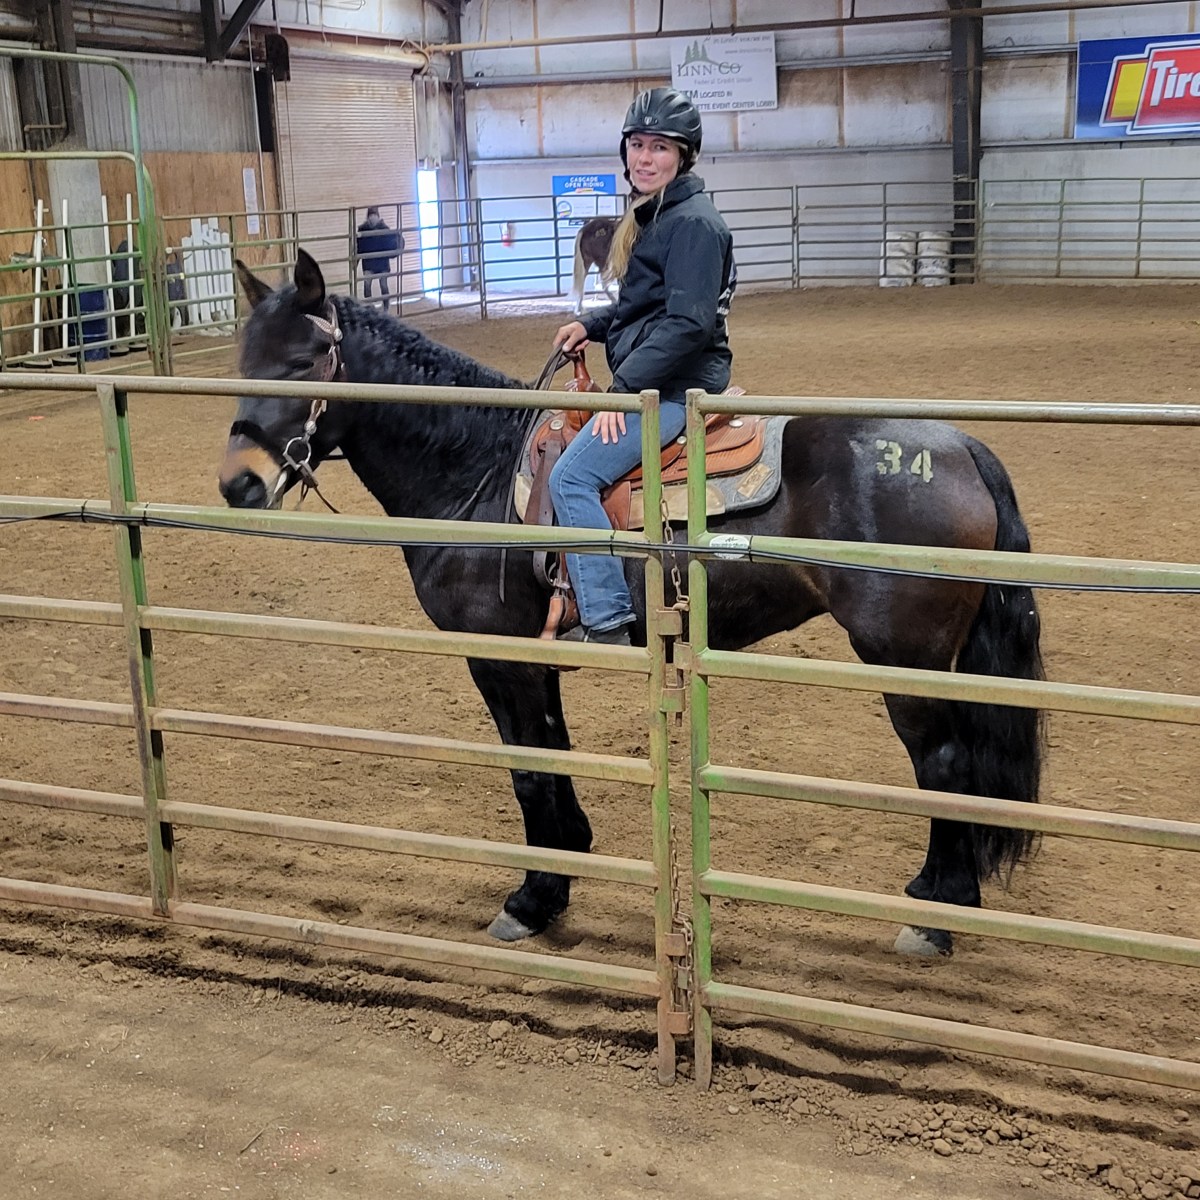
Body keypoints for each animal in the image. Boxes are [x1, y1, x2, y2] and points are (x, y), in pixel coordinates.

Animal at [220, 249, 1045, 956]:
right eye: (243, 363)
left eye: (302, 363)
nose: (239, 484)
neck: (476, 467)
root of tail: (963, 448)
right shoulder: (536, 659)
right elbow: (551, 756)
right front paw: (559, 879)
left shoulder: (499, 658)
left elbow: (527, 769)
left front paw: (531, 899)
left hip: (904, 657)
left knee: (944, 763)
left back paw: (936, 913)